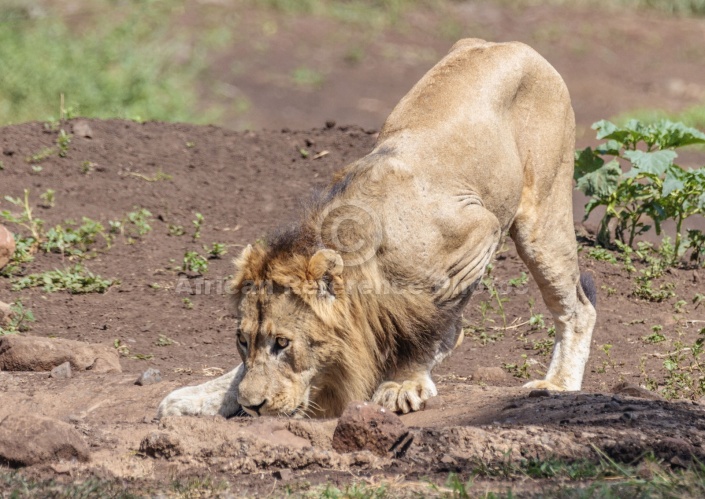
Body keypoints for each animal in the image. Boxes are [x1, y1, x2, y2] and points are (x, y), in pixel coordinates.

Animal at [158, 39, 592, 420]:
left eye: (283, 344)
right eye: (242, 340)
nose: (253, 407)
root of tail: (512, 45)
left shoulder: (476, 237)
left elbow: (430, 329)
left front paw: (404, 383)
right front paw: (205, 396)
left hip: (541, 223)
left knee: (578, 307)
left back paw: (558, 384)